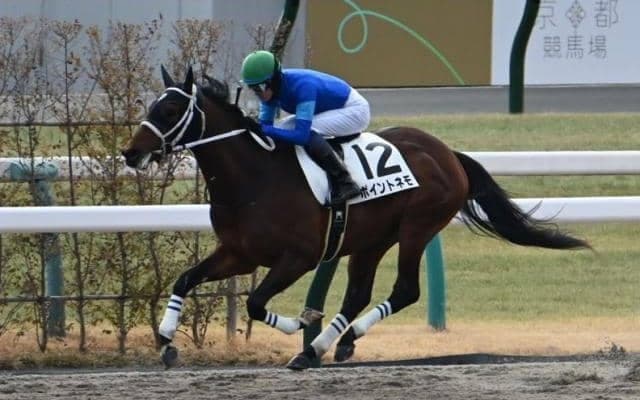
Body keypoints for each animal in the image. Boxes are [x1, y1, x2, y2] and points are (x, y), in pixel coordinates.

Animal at [122, 66, 590, 370]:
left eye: (169, 111)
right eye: (151, 105)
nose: (130, 152)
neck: (254, 178)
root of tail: (447, 153)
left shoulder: (298, 257)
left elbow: (256, 303)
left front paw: (303, 321)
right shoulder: (240, 254)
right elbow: (185, 280)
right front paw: (165, 341)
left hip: (417, 227)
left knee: (404, 290)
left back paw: (326, 344)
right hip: (372, 239)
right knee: (358, 294)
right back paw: (322, 347)